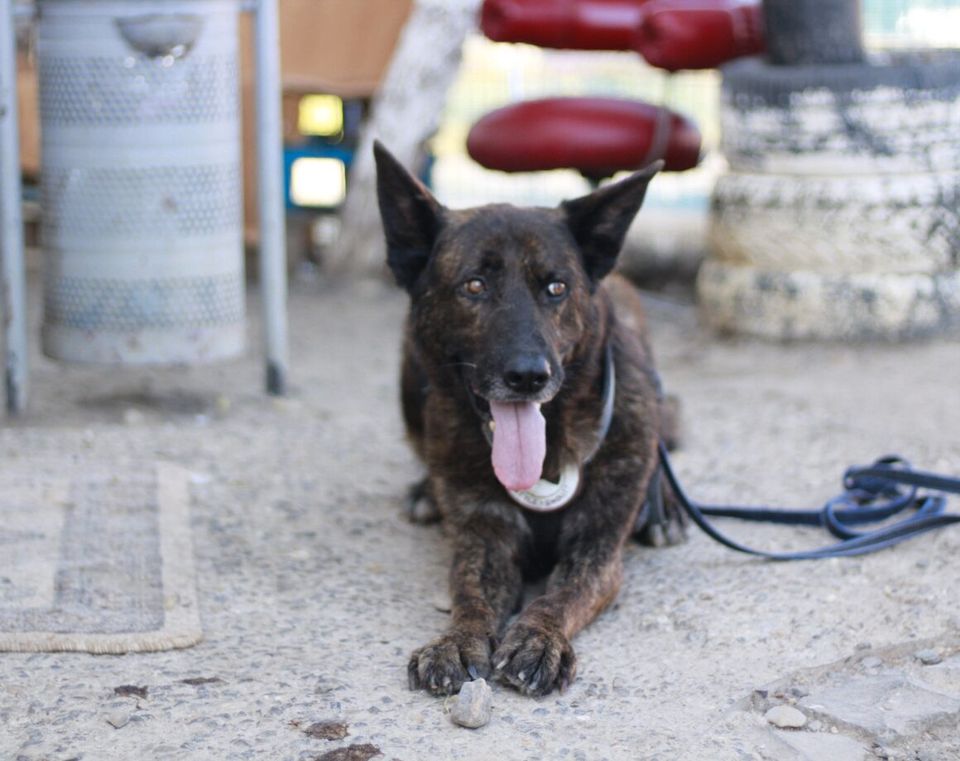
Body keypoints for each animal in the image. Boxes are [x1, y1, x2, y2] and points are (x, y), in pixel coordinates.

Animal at [374, 141, 684, 696]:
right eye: (474, 285)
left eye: (556, 288)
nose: (527, 376)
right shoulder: (483, 538)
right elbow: (469, 593)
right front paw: (456, 641)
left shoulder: (598, 547)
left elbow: (563, 593)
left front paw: (539, 638)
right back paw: (425, 491)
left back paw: (663, 506)